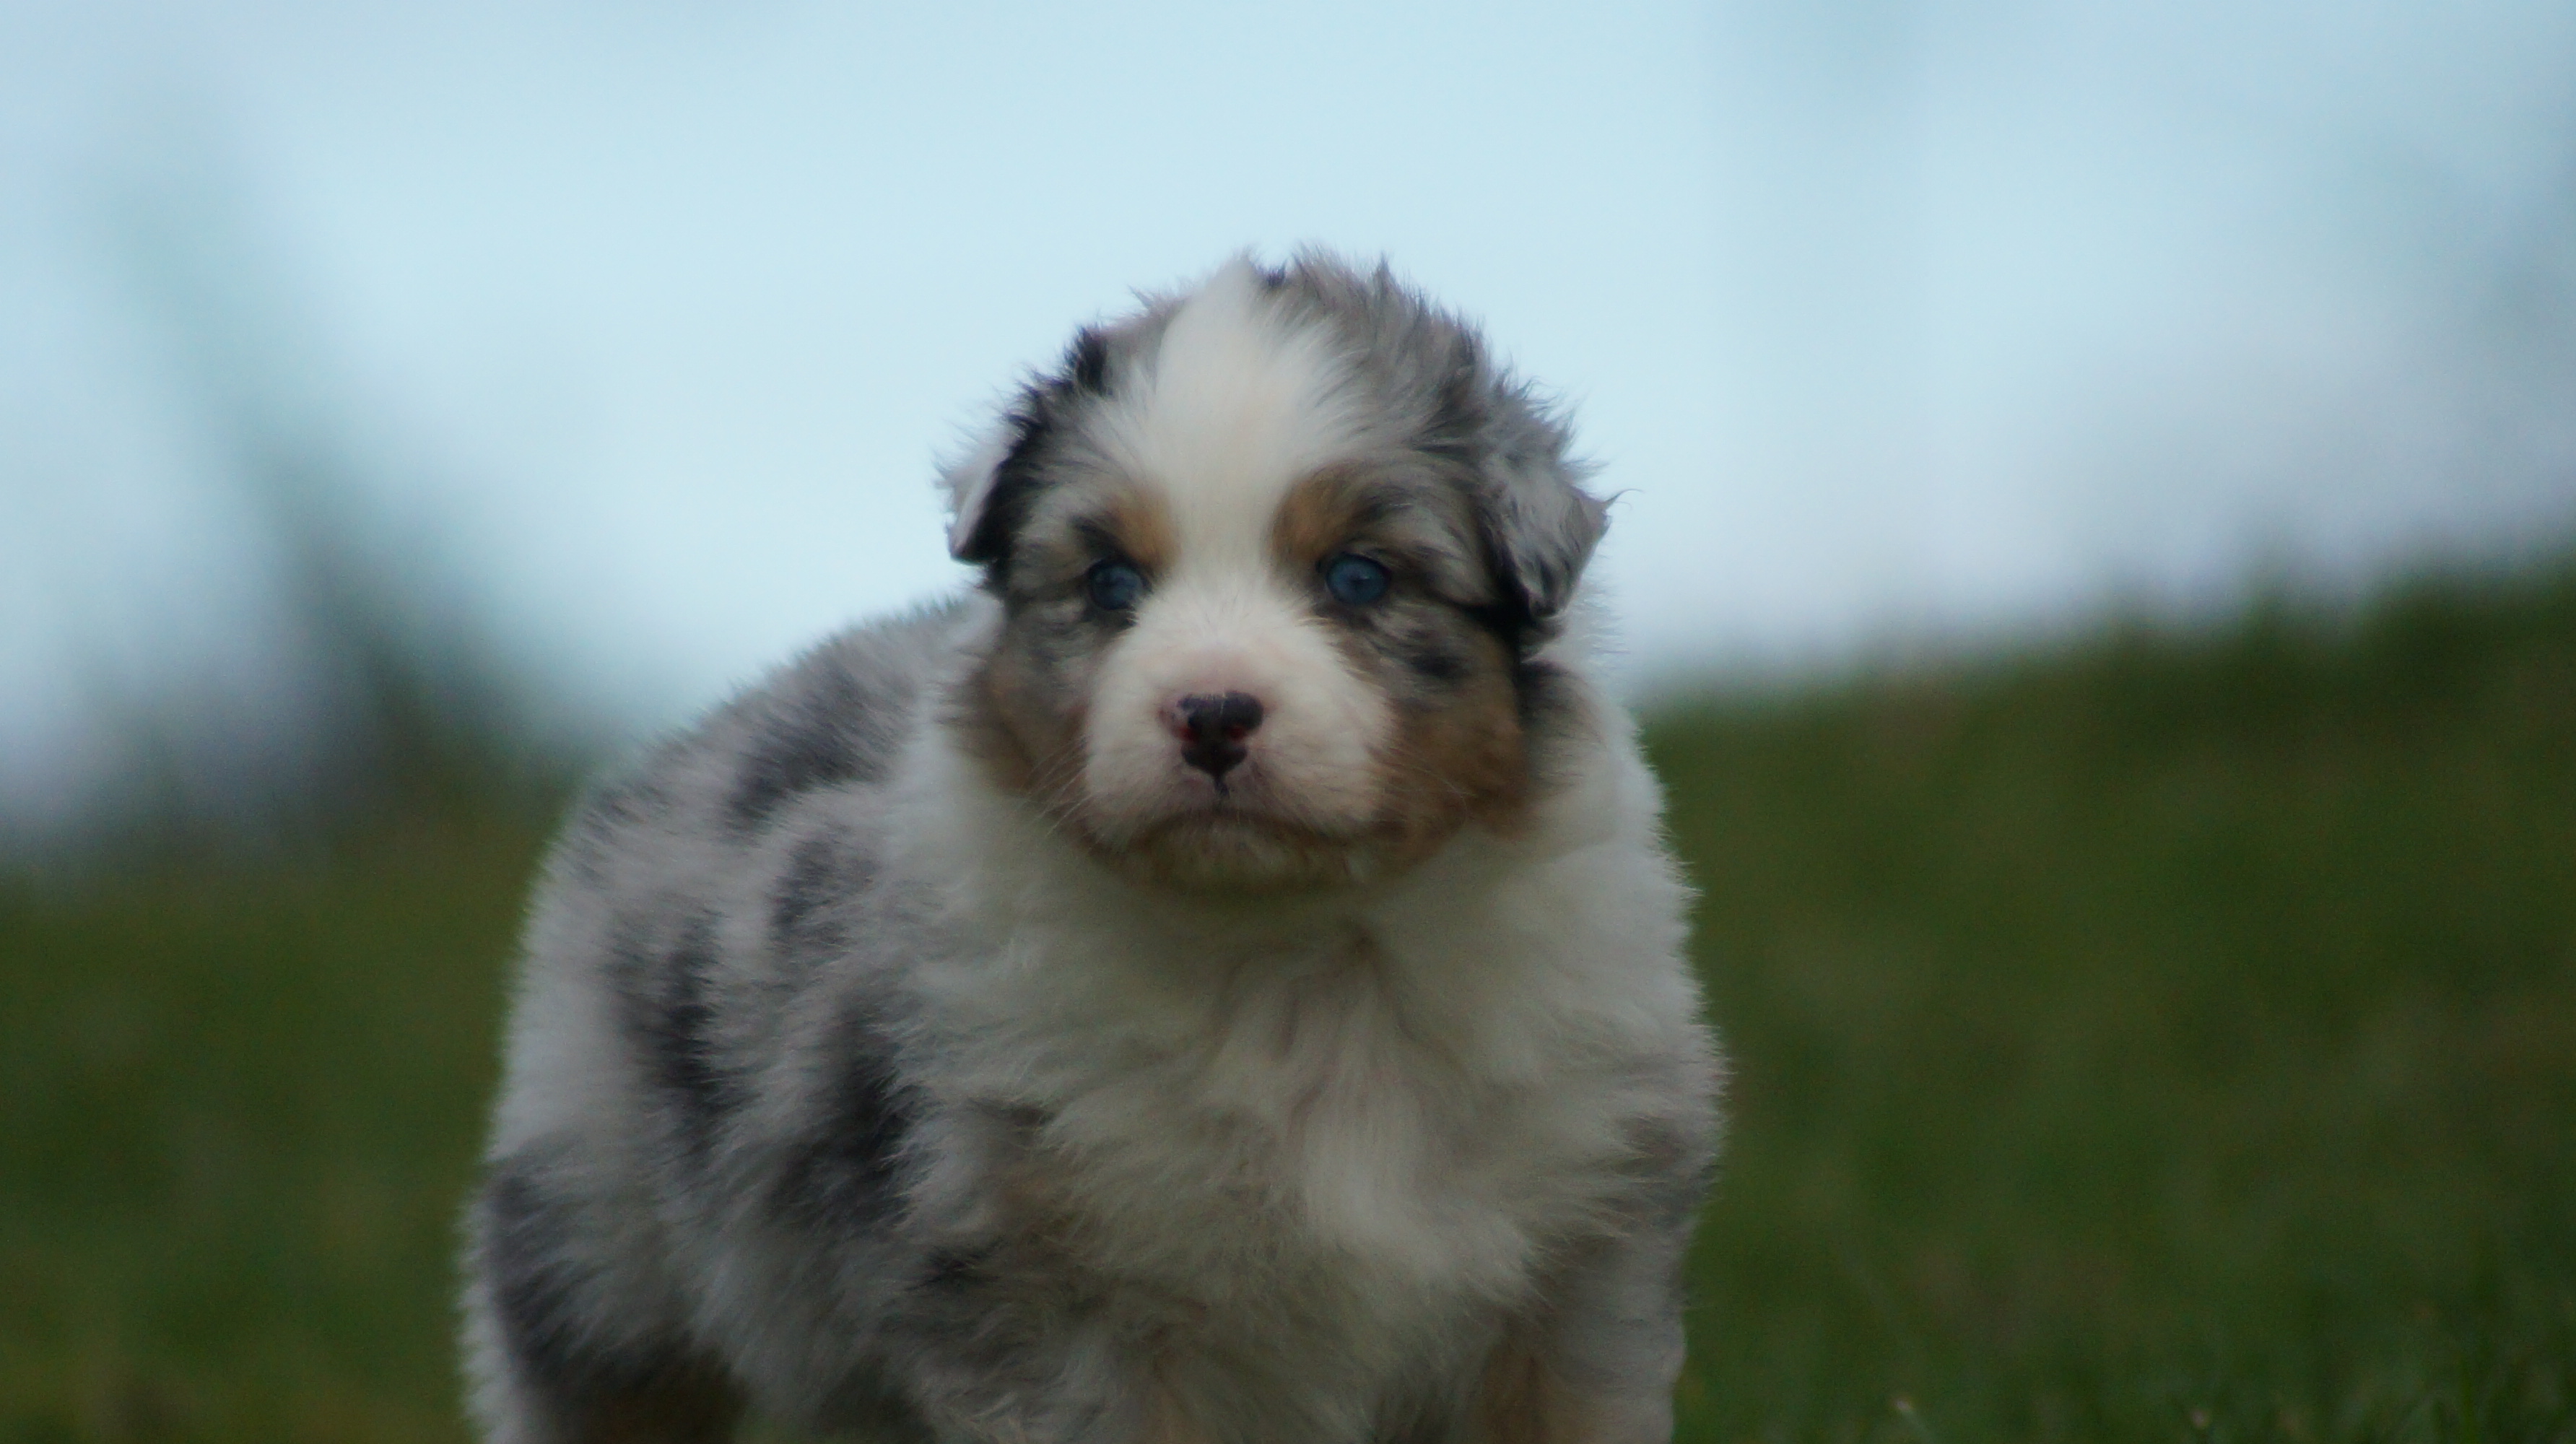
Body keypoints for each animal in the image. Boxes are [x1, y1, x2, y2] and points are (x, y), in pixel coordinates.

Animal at [461, 253, 1720, 1431]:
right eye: (1114, 583)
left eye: (1359, 577)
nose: (1212, 715)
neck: (1301, 965)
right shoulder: (1047, 1294)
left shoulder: (1577, 1262)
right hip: (599, 1262)